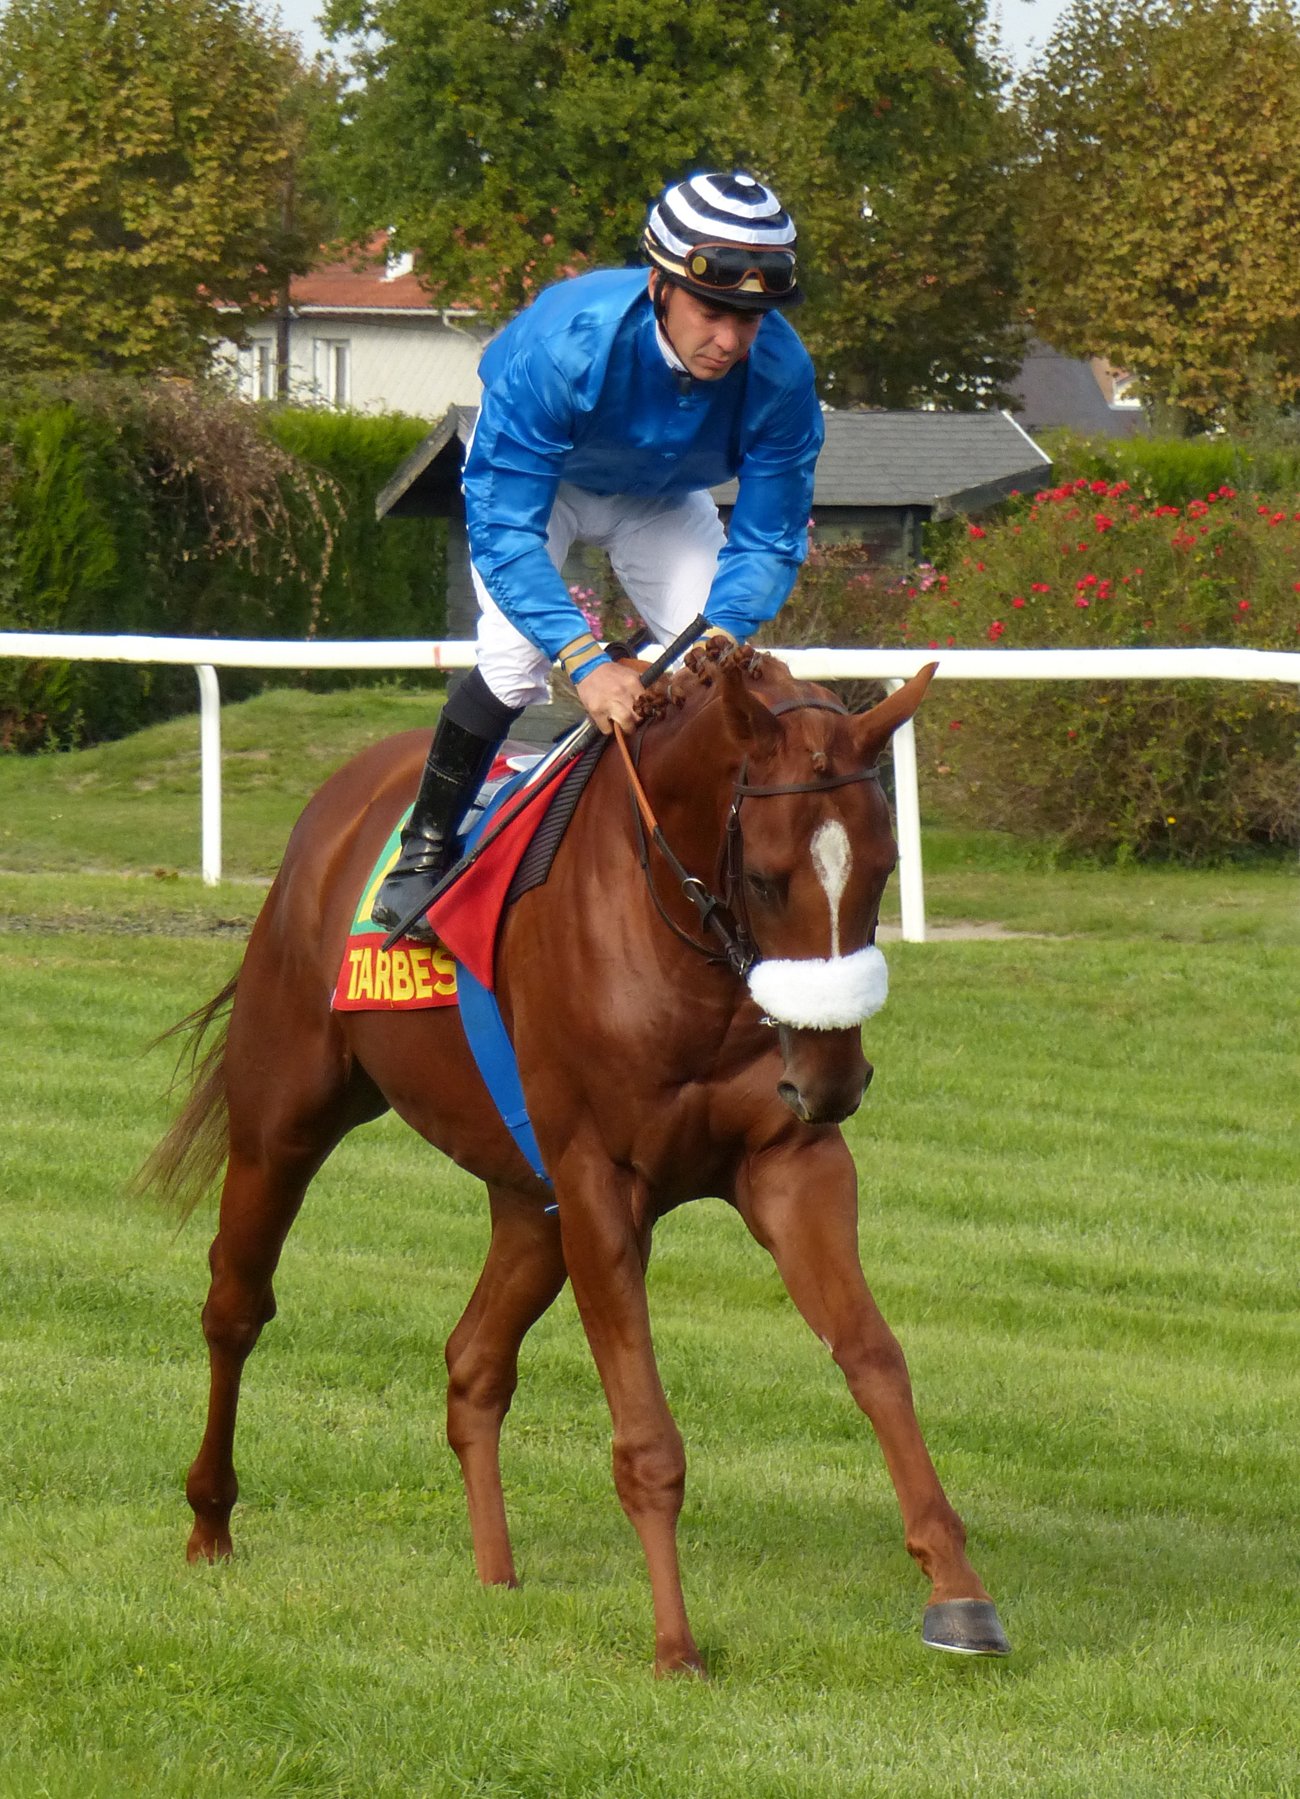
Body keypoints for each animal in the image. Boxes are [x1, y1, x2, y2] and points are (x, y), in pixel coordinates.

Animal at [142, 639, 1010, 1675]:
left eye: (883, 869)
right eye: (766, 878)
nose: (834, 1080)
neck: (679, 949)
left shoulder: (790, 1163)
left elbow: (875, 1359)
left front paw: (957, 1589)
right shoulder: (601, 1182)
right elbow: (647, 1438)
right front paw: (675, 1641)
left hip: (529, 1199)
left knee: (473, 1360)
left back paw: (495, 1571)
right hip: (285, 1119)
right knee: (235, 1307)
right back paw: (210, 1521)